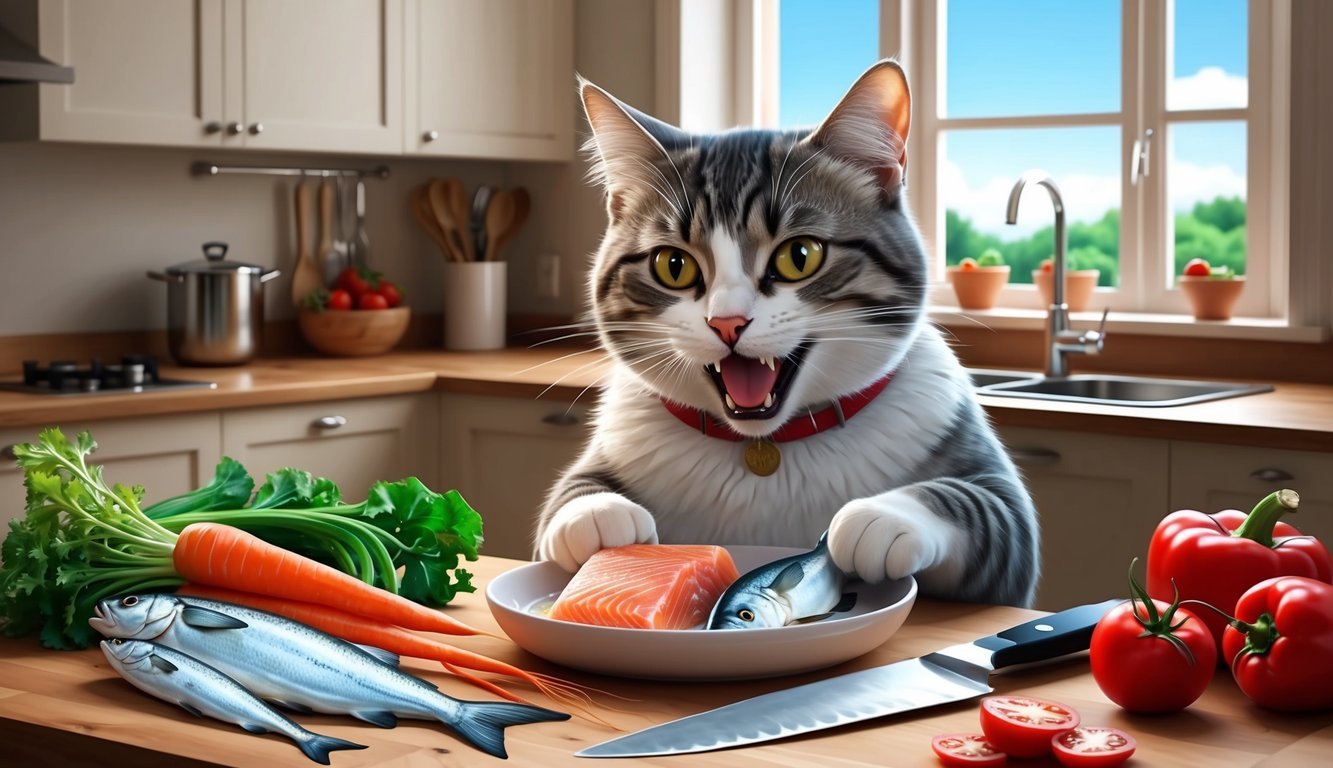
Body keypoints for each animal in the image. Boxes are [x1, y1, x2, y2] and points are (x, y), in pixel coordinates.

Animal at [530, 58, 1039, 605]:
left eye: (800, 256)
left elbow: (979, 505)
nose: (726, 321)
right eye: (673, 265)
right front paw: (597, 514)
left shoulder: (999, 510)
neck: (769, 448)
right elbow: (571, 492)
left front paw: (879, 518)